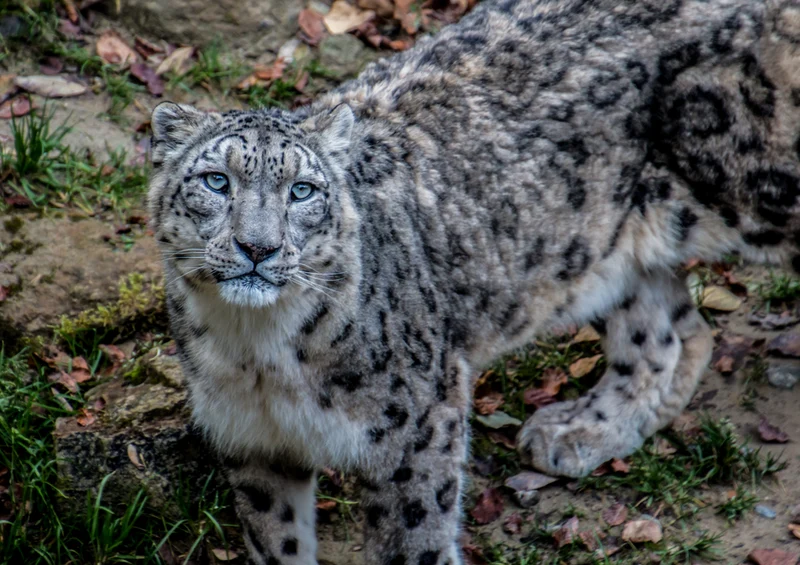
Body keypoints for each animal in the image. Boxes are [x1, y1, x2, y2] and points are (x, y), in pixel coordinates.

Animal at [147, 0, 800, 562]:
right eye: (216, 181)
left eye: (303, 190)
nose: (258, 247)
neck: (258, 348)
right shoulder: (252, 441)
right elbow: (277, 540)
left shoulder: (415, 427)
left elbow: (412, 538)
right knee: (670, 334)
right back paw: (584, 429)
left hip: (756, 185)